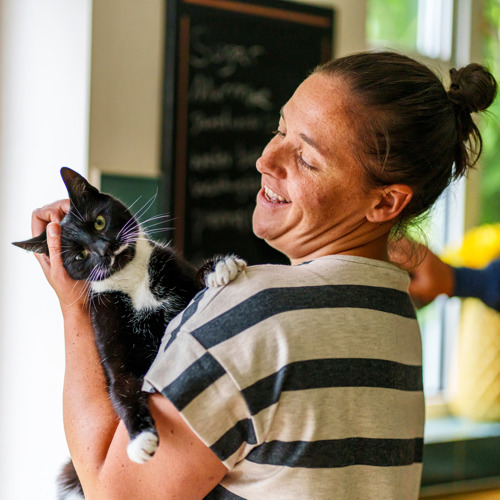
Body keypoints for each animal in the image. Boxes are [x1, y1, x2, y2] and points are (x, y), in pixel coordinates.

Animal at [15, 170, 248, 498]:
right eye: (80, 255)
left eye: (99, 222)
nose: (104, 248)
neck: (132, 280)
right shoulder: (109, 333)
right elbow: (122, 387)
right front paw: (140, 439)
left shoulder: (174, 270)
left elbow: (195, 276)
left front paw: (219, 267)